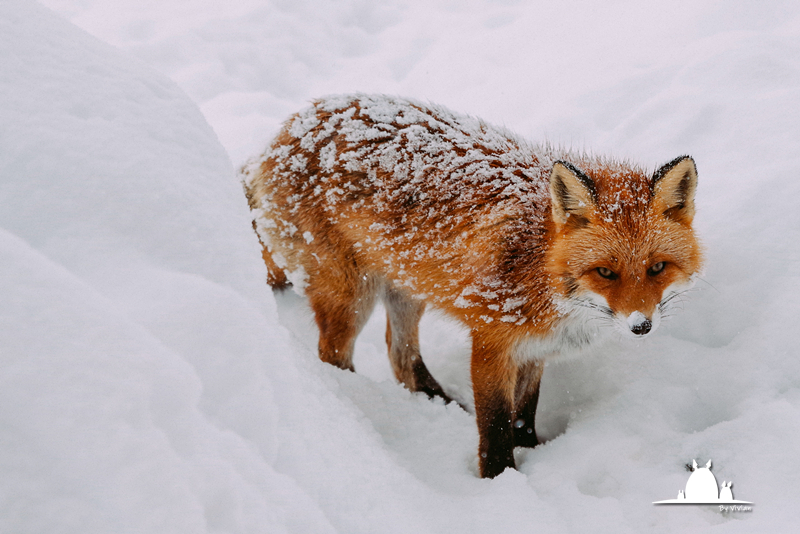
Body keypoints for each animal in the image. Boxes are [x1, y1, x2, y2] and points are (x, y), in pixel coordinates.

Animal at [241, 94, 704, 480]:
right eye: (605, 272)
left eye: (657, 267)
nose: (641, 326)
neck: (540, 264)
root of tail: (288, 128)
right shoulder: (491, 342)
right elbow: (496, 426)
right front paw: (501, 483)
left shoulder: (534, 350)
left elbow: (524, 414)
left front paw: (530, 452)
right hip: (351, 298)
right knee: (334, 357)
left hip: (406, 289)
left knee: (400, 356)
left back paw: (437, 403)